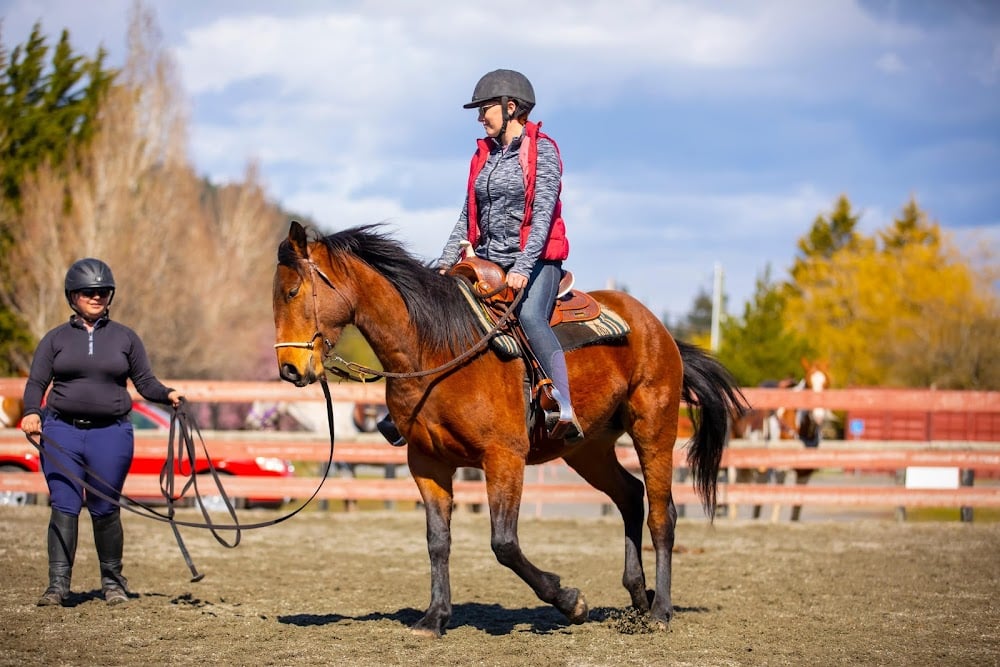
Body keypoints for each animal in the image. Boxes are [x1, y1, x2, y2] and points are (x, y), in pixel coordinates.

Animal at [270, 222, 748, 640]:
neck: (439, 348)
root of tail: (659, 330)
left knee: (661, 515)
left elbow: (504, 543)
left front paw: (571, 601)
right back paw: (638, 597)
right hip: (587, 449)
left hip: (654, 430)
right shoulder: (426, 463)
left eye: (293, 291)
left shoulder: (503, 457)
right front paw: (434, 617)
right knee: (630, 496)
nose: (290, 369)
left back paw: (661, 611)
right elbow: (437, 540)